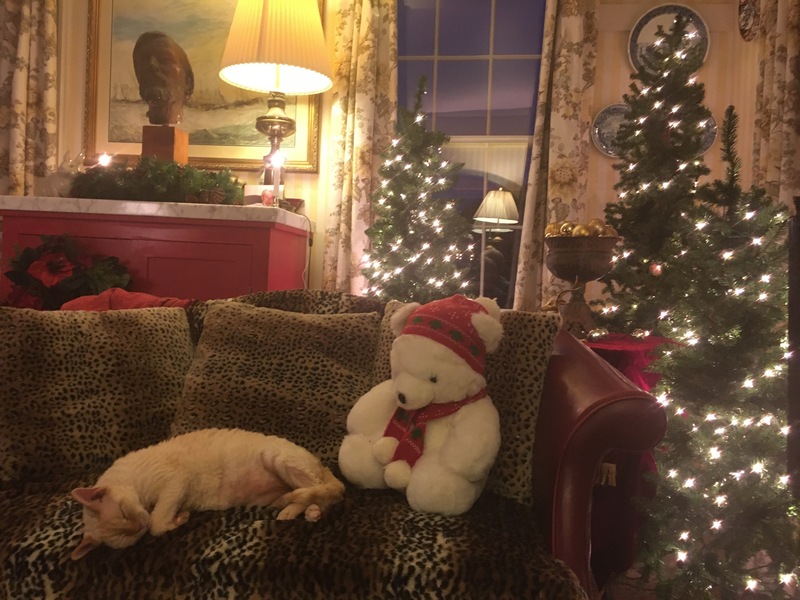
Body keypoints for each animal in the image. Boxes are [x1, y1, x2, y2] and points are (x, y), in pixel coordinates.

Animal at [70, 428, 345, 560]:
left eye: (124, 513)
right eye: (128, 535)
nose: (139, 524)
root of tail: (319, 461)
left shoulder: (175, 483)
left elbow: (157, 523)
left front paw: (176, 519)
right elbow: (158, 525)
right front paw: (177, 519)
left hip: (277, 459)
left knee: (318, 490)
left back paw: (302, 510)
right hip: (273, 494)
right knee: (309, 493)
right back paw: (302, 510)